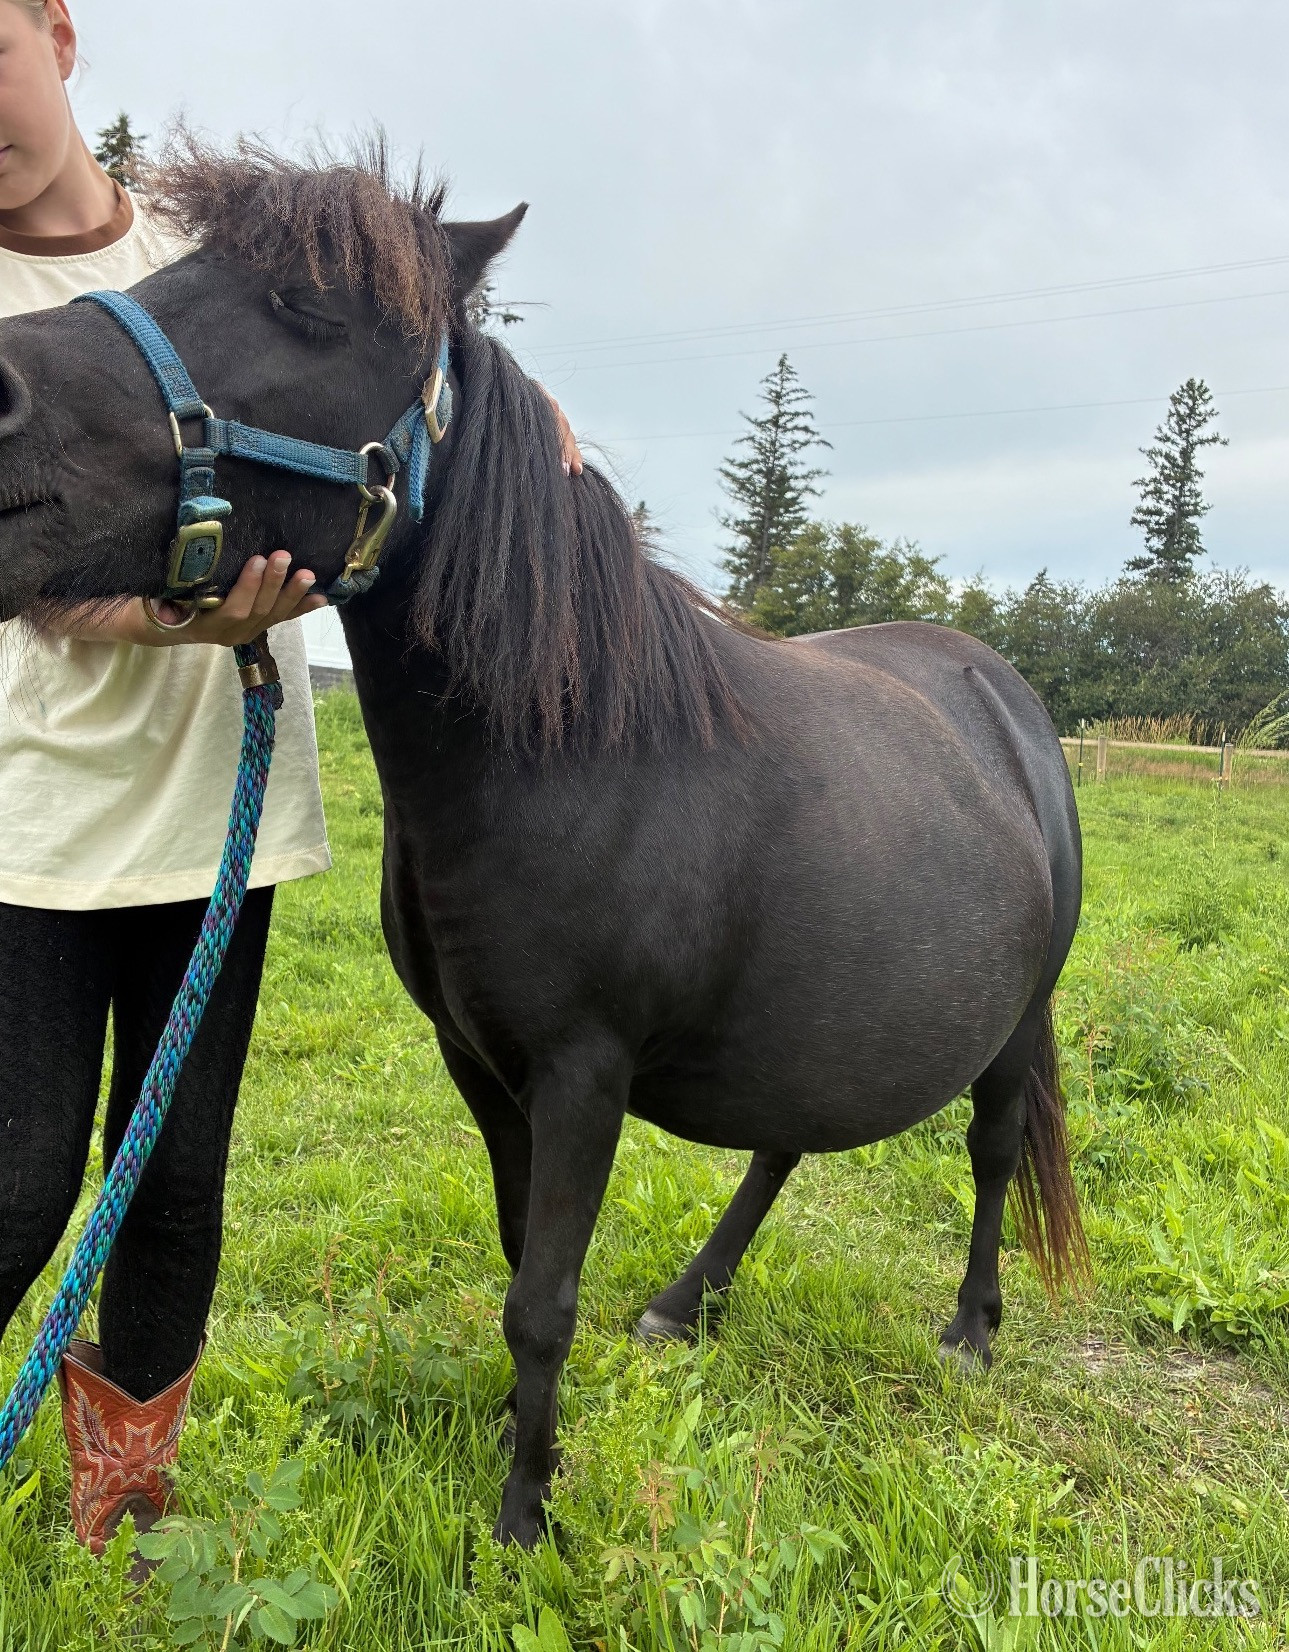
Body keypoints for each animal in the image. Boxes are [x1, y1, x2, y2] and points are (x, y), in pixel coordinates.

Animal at [0, 138, 1087, 1548]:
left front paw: (524, 1517)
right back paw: (686, 1301)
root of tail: (1003, 699)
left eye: (307, 305)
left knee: (991, 1146)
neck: (571, 752)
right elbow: (527, 1259)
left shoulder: (583, 1073)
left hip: (1017, 1018)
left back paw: (967, 1328)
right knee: (786, 1137)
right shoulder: (481, 1062)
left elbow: (542, 1298)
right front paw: (523, 1451)